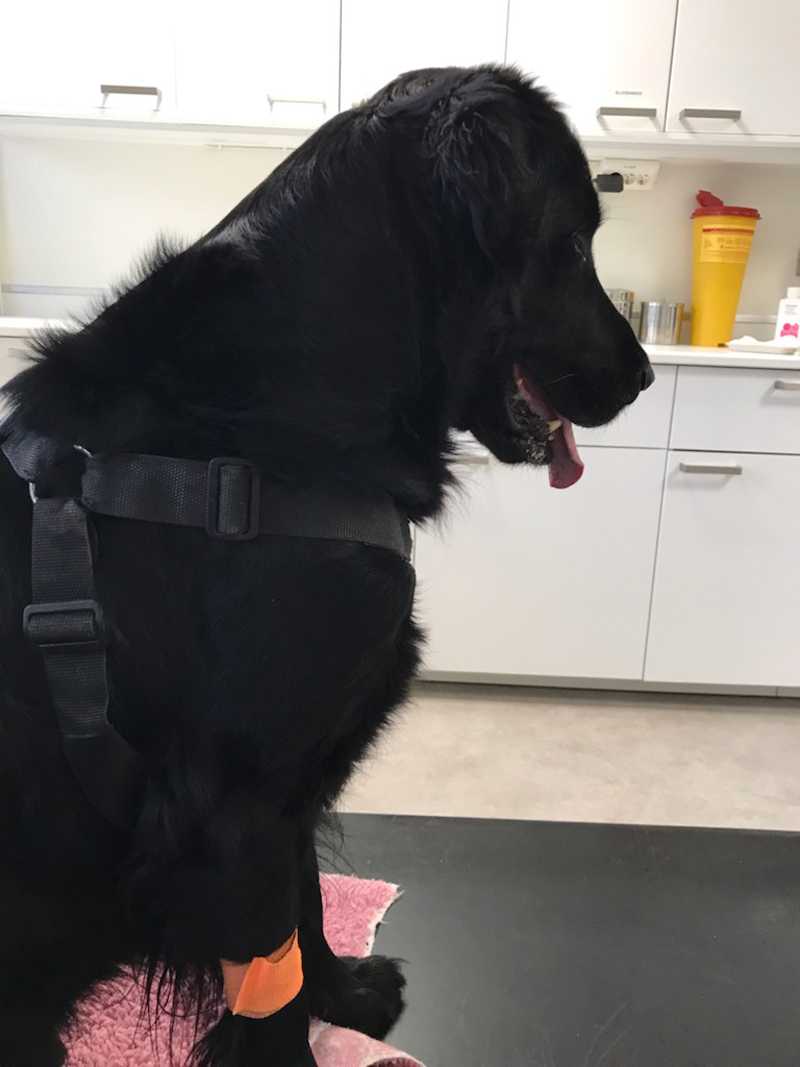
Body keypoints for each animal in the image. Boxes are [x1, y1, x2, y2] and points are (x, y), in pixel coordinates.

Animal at [0, 65, 652, 1066]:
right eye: (576, 243)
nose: (647, 375)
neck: (272, 425)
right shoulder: (231, 808)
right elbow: (266, 994)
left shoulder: (288, 781)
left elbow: (302, 915)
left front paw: (345, 993)